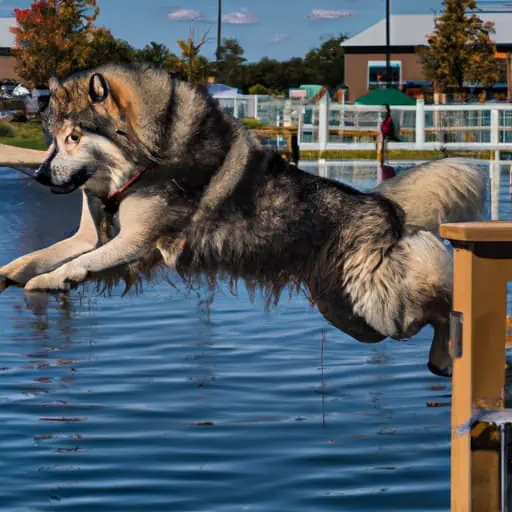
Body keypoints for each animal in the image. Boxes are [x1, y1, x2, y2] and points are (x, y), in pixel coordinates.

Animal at [0, 64, 486, 376]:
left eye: (74, 137)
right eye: (51, 139)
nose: (39, 175)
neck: (146, 159)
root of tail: (379, 204)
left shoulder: (136, 240)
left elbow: (74, 265)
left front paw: (50, 280)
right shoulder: (92, 235)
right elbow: (45, 253)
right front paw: (13, 272)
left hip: (380, 305)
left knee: (441, 289)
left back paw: (452, 343)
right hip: (351, 316)